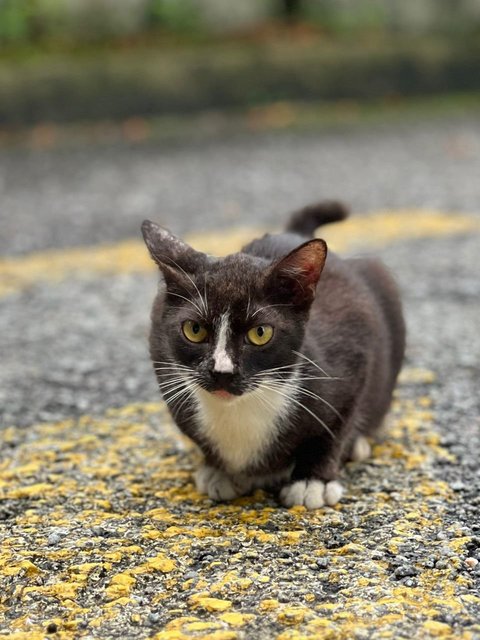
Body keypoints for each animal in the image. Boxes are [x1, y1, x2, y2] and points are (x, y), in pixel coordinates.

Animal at [142, 202, 404, 508]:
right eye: (194, 330)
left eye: (260, 333)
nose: (222, 372)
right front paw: (219, 471)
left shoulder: (356, 340)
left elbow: (336, 428)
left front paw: (313, 481)